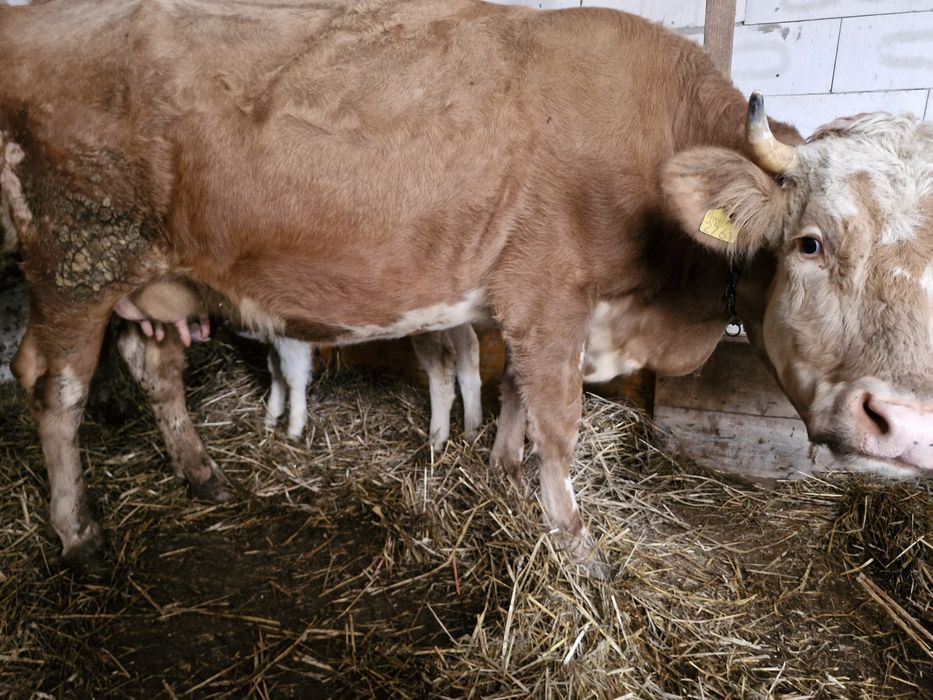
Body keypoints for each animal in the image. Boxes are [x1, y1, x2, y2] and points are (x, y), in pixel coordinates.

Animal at [1, 0, 931, 571]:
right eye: (810, 243)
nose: (902, 423)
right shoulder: (549, 297)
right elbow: (558, 423)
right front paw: (576, 546)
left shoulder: (534, 313)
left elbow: (514, 397)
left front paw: (497, 473)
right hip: (73, 256)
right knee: (55, 387)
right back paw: (77, 533)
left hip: (151, 276)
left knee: (152, 369)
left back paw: (201, 475)